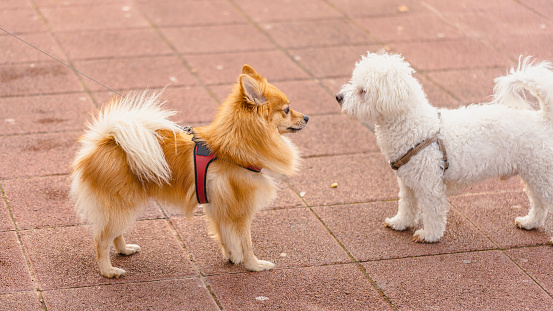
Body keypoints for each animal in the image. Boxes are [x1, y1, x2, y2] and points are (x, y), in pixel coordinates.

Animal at [71, 65, 308, 278]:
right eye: (287, 110)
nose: (306, 117)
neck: (233, 148)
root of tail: (105, 141)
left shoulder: (218, 207)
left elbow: (226, 236)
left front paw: (233, 257)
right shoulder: (241, 211)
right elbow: (246, 242)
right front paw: (254, 265)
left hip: (124, 205)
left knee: (114, 233)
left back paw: (124, 250)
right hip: (122, 205)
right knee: (101, 239)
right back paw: (108, 271)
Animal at [334, 51, 552, 244]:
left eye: (363, 91)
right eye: (354, 82)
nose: (338, 97)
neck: (415, 127)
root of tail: (544, 119)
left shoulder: (430, 185)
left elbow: (432, 213)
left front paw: (429, 235)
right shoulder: (408, 183)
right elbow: (406, 206)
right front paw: (400, 223)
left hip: (543, 175)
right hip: (535, 176)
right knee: (539, 203)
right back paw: (530, 222)